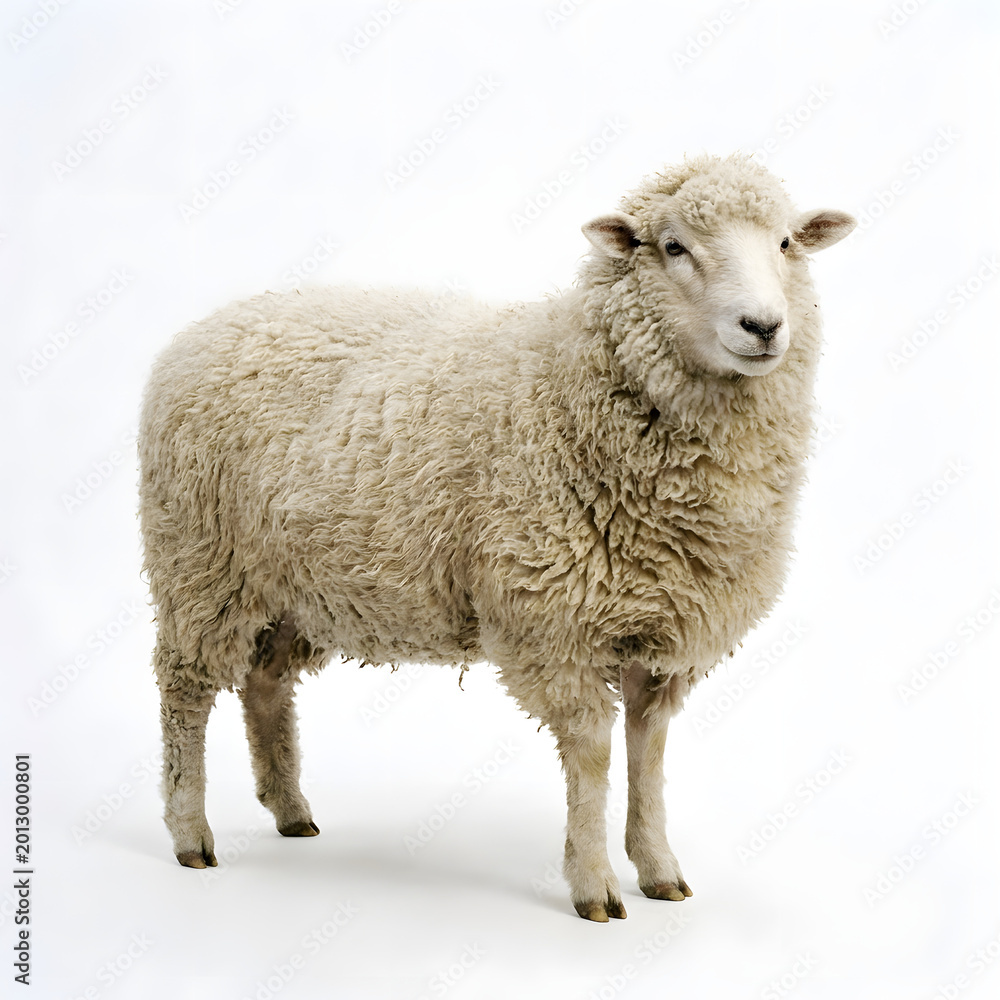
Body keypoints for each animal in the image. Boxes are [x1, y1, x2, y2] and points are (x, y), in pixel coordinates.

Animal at [139, 153, 855, 921]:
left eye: (786, 243)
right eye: (673, 247)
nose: (763, 326)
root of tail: (206, 326)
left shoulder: (662, 629)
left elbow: (649, 753)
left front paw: (659, 868)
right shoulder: (555, 622)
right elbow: (594, 755)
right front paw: (594, 885)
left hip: (292, 587)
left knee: (266, 683)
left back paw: (290, 809)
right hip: (200, 565)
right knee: (184, 693)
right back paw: (190, 831)